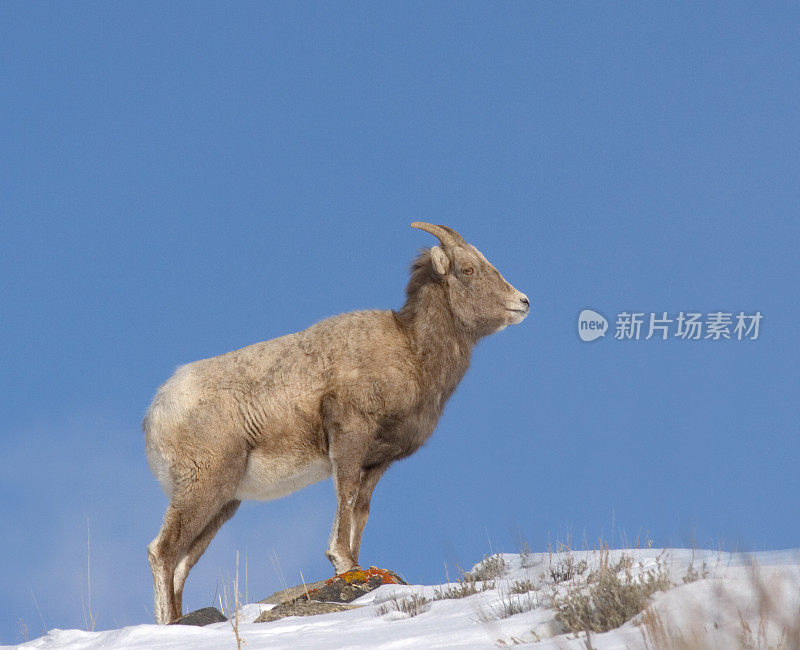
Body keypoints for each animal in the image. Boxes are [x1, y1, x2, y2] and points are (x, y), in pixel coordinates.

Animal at [144, 223, 532, 624]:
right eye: (468, 269)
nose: (523, 302)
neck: (412, 350)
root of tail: (157, 411)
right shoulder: (349, 437)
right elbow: (344, 498)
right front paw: (342, 562)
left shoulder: (376, 463)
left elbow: (361, 509)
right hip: (202, 487)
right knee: (163, 552)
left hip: (223, 503)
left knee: (182, 565)